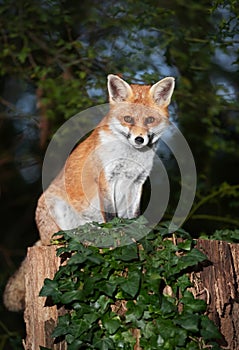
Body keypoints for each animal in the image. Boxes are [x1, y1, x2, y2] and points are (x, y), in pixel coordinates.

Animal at [3, 74, 176, 312]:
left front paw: (135, 232)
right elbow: (111, 216)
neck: (130, 157)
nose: (139, 140)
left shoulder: (137, 182)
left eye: (149, 120)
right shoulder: (106, 179)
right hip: (56, 211)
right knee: (60, 239)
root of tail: (40, 237)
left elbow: (134, 216)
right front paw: (116, 232)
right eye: (128, 119)